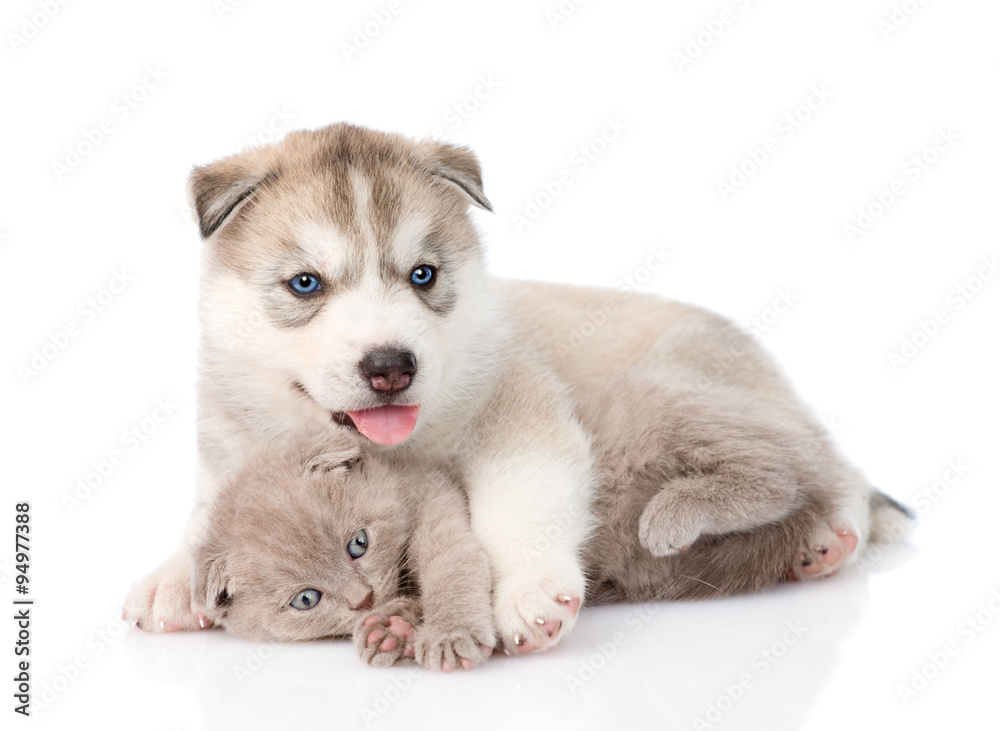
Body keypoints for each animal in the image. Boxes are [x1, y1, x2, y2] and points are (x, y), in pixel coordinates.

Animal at [123, 123, 908, 656]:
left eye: (423, 275)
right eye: (305, 284)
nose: (391, 364)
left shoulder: (521, 418)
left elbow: (518, 506)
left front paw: (526, 592)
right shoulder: (231, 446)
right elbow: (208, 512)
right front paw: (173, 575)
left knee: (827, 467)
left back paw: (825, 539)